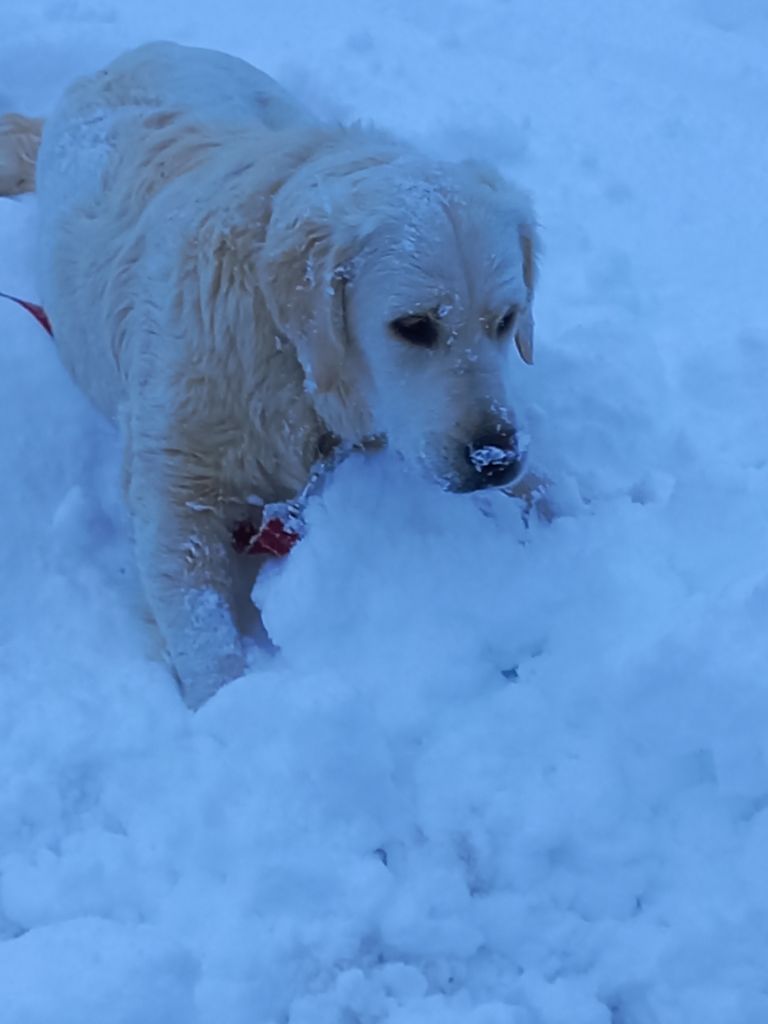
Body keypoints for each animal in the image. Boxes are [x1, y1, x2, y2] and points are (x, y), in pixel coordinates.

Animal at [0, 41, 540, 712]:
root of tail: (134, 52)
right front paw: (228, 712)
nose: (495, 458)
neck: (292, 363)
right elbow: (200, 626)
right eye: (413, 326)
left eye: (507, 319)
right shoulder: (172, 483)